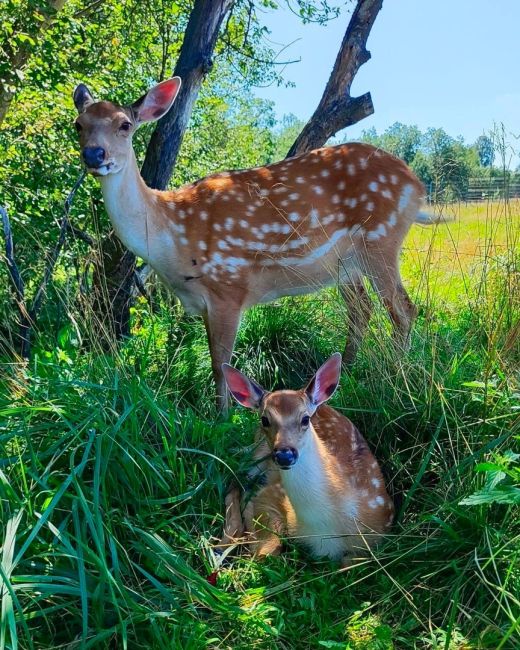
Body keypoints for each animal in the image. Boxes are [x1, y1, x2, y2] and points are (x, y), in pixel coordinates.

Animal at [73, 77, 436, 410]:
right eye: (78, 124)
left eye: (125, 124)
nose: (94, 154)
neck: (171, 237)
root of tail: (417, 186)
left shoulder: (228, 287)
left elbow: (221, 365)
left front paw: (220, 417)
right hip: (345, 263)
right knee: (363, 309)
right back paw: (345, 376)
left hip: (381, 238)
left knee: (403, 309)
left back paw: (396, 380)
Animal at [219, 350, 394, 560]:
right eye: (265, 419)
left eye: (305, 419)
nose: (284, 455)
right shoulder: (273, 491)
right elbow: (269, 549)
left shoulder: (380, 526)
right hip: (257, 455)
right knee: (233, 480)